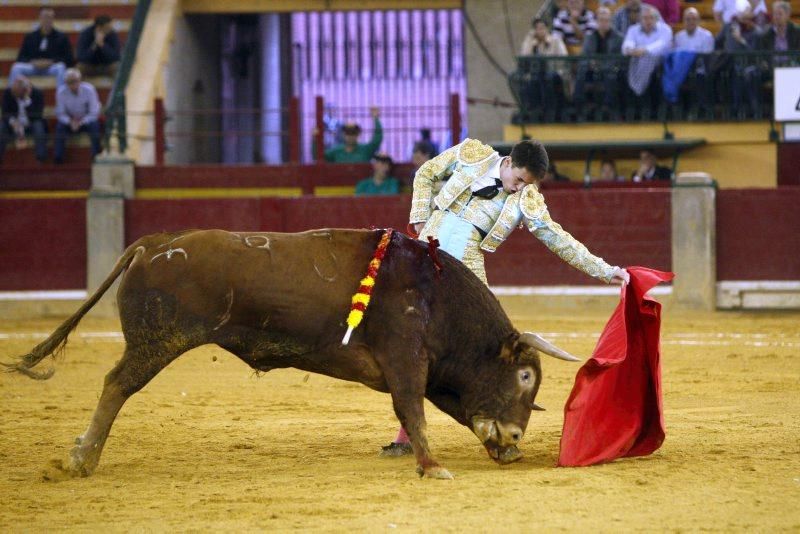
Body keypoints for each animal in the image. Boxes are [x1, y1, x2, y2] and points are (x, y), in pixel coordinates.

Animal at [6, 229, 580, 482]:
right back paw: (82, 458)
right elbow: (413, 410)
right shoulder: (406, 361)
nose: (514, 439)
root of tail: (151, 245)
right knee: (116, 385)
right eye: (525, 376)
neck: (436, 294)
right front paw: (433, 466)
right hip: (157, 342)